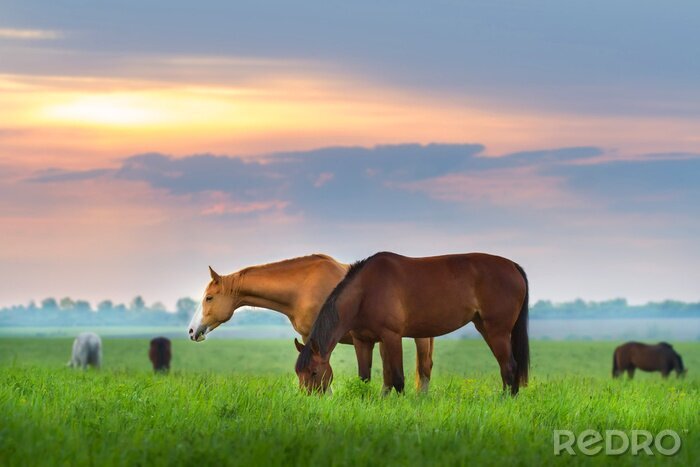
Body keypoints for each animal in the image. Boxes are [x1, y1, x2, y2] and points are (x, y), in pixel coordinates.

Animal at [295, 252, 529, 395]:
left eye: (314, 372)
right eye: (298, 373)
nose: (308, 398)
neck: (365, 291)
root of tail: (513, 266)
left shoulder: (391, 336)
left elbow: (397, 377)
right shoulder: (363, 341)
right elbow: (364, 378)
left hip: (497, 331)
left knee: (509, 367)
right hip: (485, 327)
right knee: (507, 367)